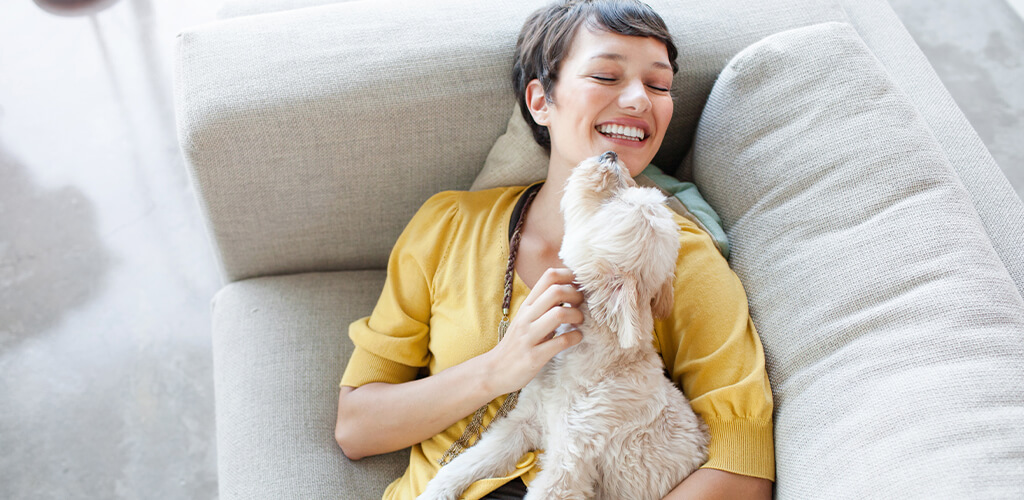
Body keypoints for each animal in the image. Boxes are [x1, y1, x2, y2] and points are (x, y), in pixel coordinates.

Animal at [419, 152, 708, 500]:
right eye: (625, 189)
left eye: (614, 201)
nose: (610, 154)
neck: (585, 362)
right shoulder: (523, 423)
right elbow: (471, 461)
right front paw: (436, 489)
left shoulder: (568, 466)